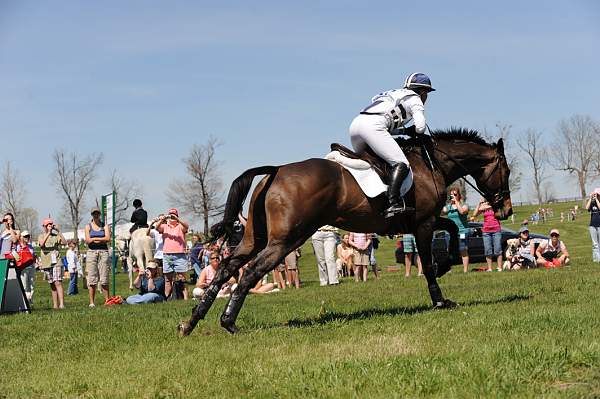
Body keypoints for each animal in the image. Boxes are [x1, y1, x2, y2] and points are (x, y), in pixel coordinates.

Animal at [178, 126, 510, 336]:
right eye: (505, 171)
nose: (505, 210)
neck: (431, 164)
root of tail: (276, 171)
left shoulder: (420, 222)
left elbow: (452, 231)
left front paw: (446, 264)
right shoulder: (424, 222)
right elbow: (428, 262)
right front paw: (440, 298)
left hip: (254, 238)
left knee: (226, 269)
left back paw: (191, 322)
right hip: (286, 241)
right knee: (249, 273)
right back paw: (228, 322)